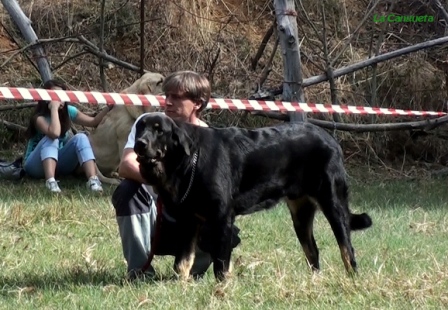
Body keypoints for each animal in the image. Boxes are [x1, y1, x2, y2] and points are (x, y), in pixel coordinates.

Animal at [133, 113, 372, 280]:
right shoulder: (188, 221)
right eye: (139, 128)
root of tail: (331, 139)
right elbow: (182, 262)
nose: (139, 143)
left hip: (333, 204)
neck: (189, 161)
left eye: (159, 131)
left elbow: (220, 266)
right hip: (301, 213)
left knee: (347, 250)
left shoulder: (222, 220)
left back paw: (352, 280)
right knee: (312, 252)